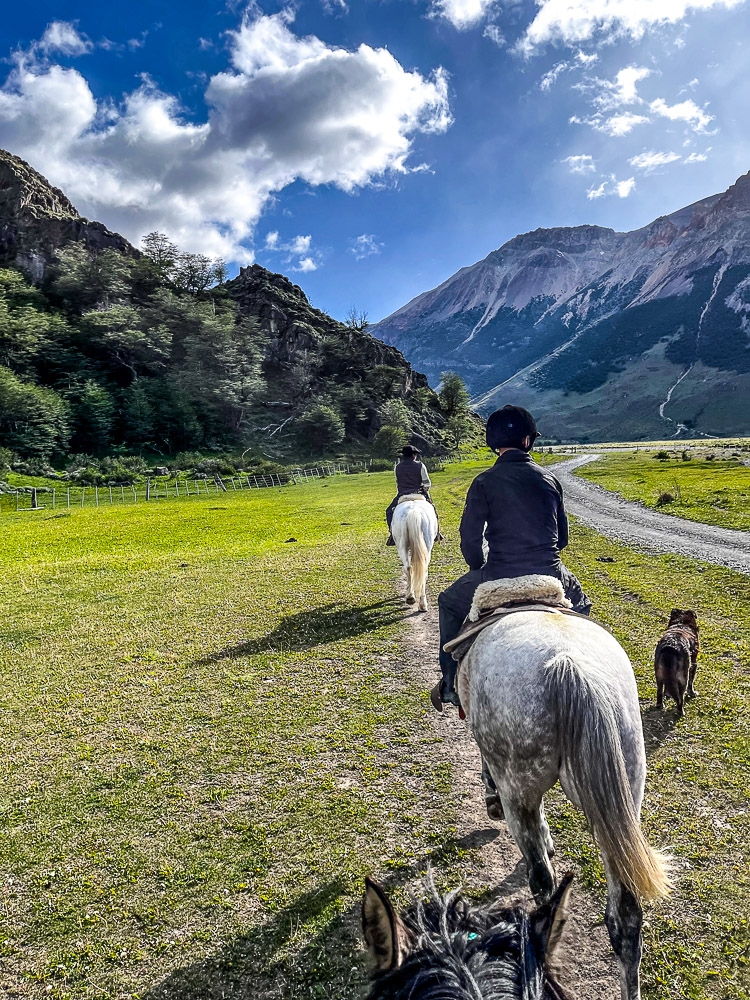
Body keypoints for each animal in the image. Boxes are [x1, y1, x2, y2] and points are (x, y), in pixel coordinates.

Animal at [457, 599, 672, 1000]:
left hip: (519, 791)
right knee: (626, 918)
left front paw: (492, 797)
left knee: (543, 881)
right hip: (621, 801)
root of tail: (570, 667)